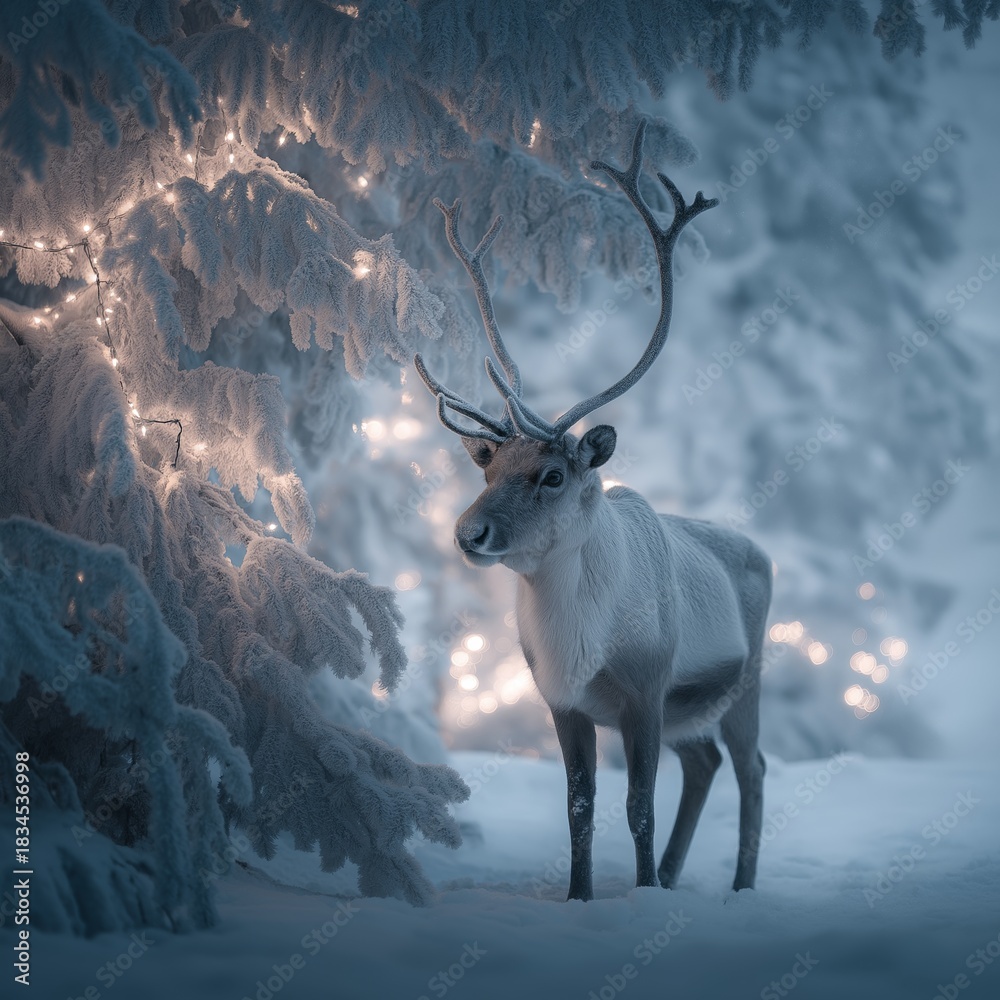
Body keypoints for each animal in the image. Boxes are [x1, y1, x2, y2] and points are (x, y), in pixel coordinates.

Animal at [414, 121, 772, 901]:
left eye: (551, 473)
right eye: (488, 465)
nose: (468, 531)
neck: (578, 646)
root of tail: (760, 552)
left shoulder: (646, 690)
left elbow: (638, 805)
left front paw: (635, 896)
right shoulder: (565, 703)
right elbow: (579, 807)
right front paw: (583, 896)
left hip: (742, 683)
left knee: (751, 768)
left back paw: (736, 886)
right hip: (692, 711)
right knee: (706, 764)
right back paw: (669, 876)